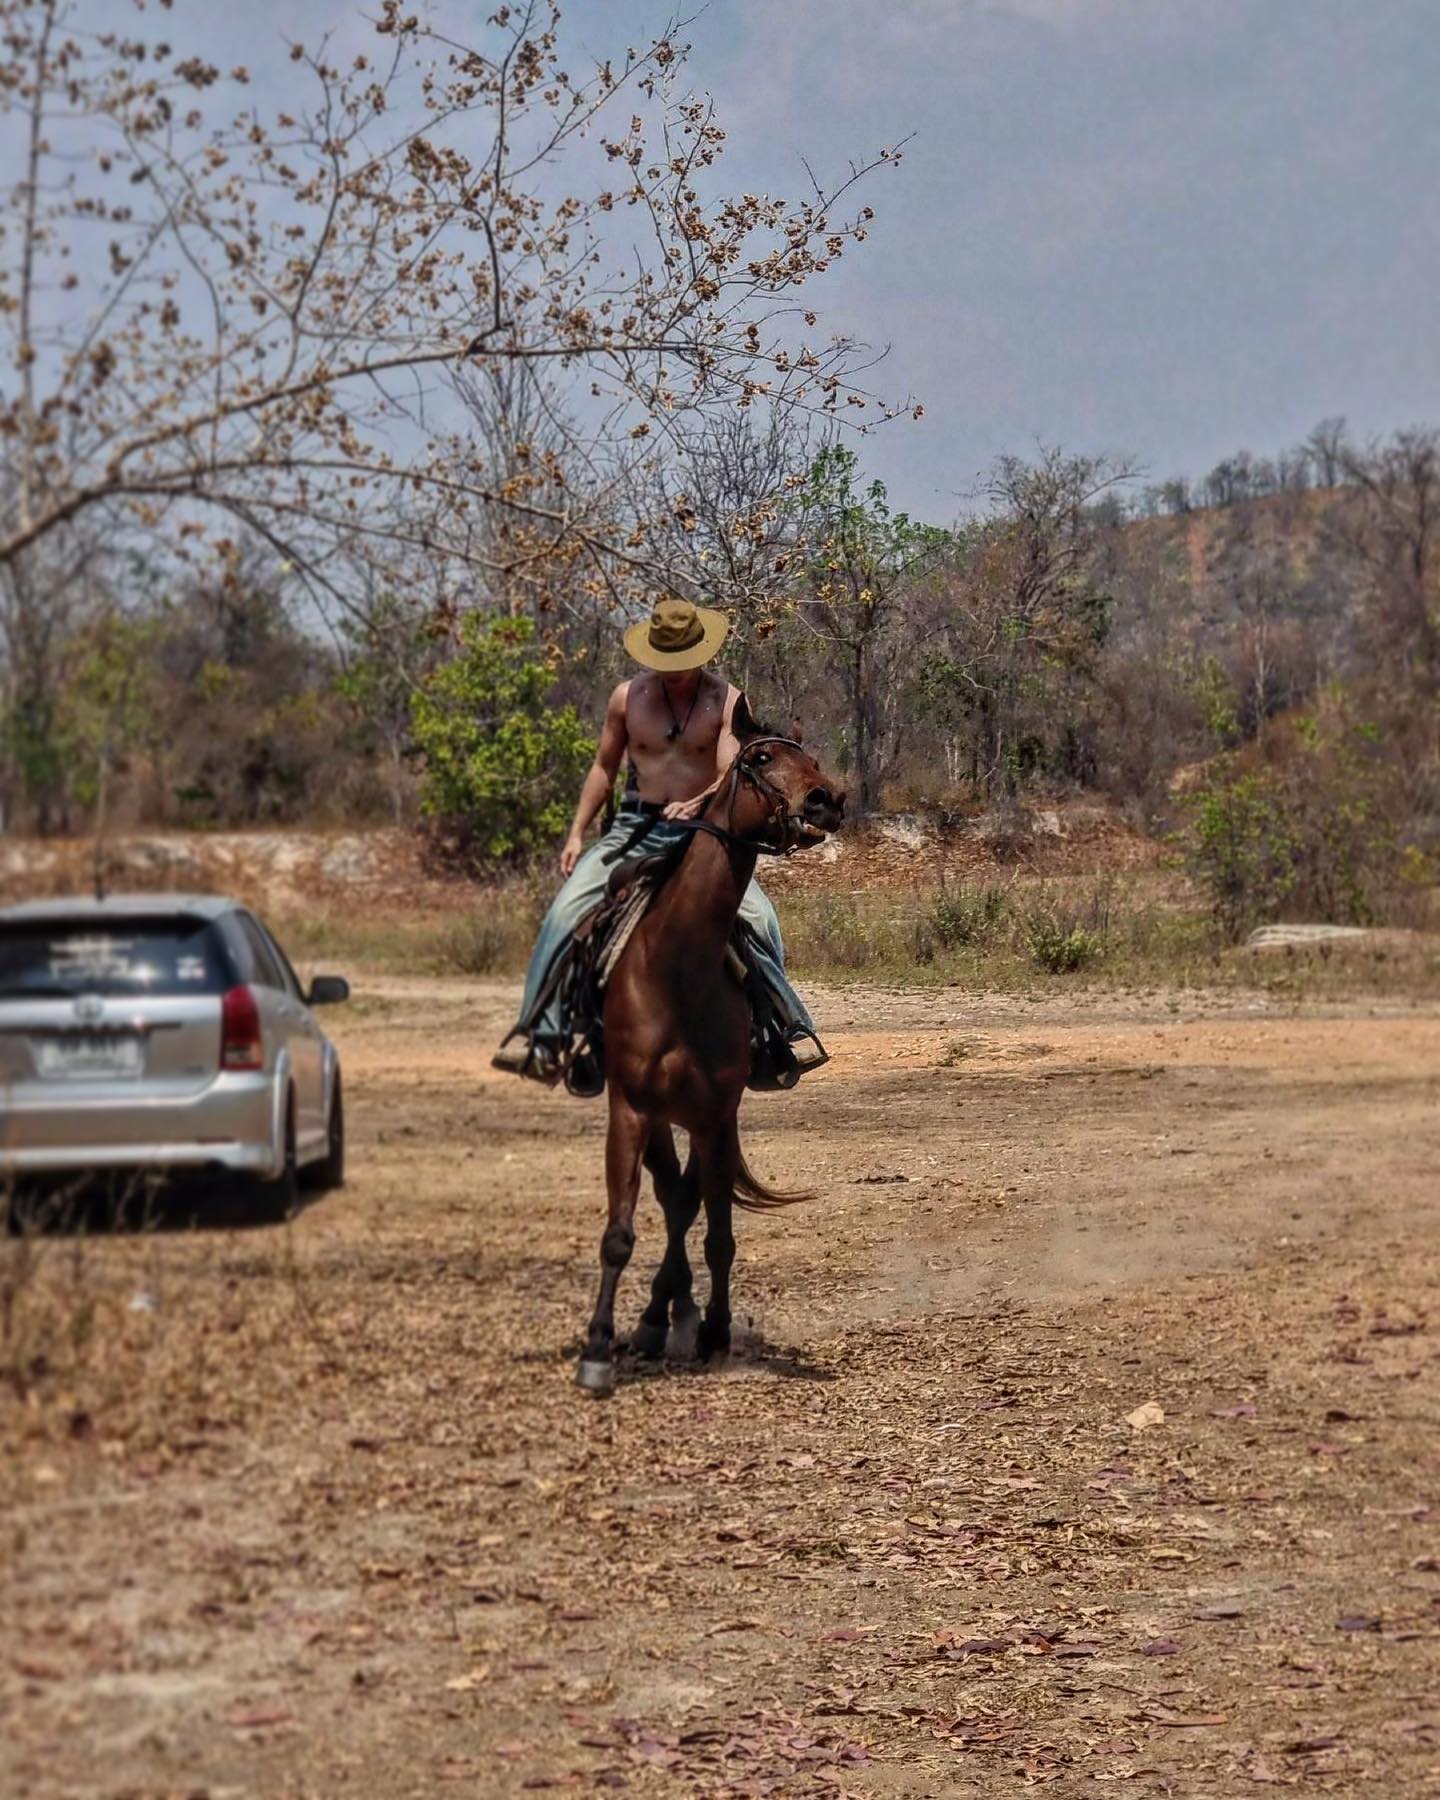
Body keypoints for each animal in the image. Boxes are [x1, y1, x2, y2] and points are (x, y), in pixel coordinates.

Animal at [572, 730, 842, 1389]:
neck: (678, 968)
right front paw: (598, 1349)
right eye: (761, 759)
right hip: (660, 1119)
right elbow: (621, 1233)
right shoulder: (632, 1110)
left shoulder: (718, 1114)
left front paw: (713, 1330)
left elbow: (717, 1231)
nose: (828, 800)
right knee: (671, 1197)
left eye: (812, 759)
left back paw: (671, 1315)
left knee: (687, 1201)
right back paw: (658, 1318)